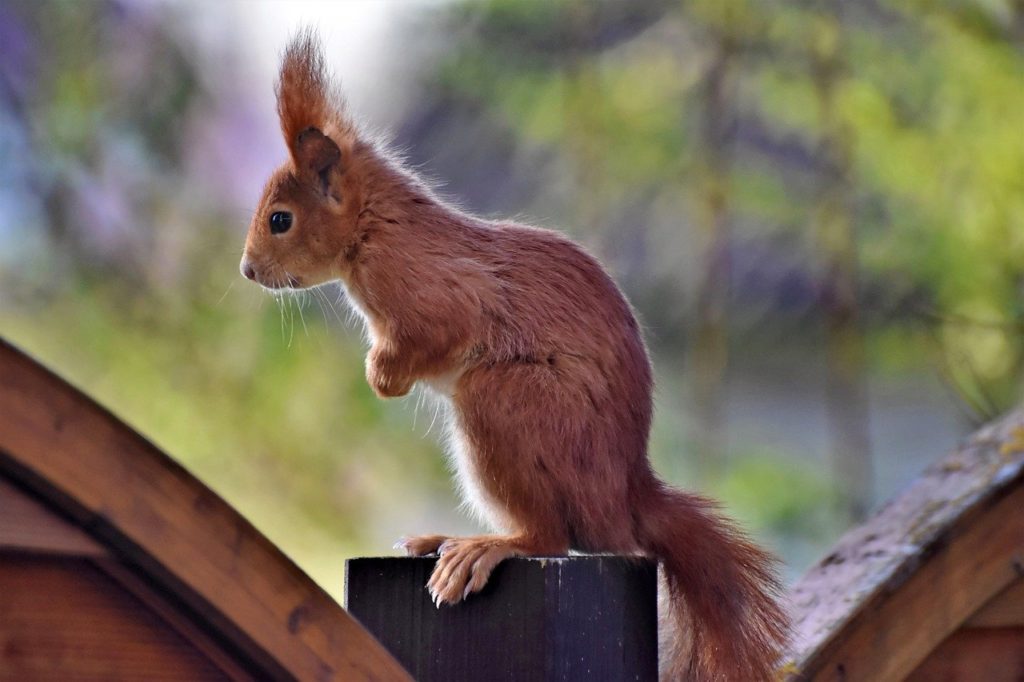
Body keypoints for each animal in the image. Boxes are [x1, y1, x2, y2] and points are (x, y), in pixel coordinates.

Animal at [243, 33, 786, 679]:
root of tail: (624, 501)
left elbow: (431, 336)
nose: (248, 271)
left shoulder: (442, 291)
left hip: (506, 403)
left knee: (548, 540)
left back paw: (484, 548)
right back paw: (439, 540)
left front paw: (384, 376)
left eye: (281, 220)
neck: (377, 231)